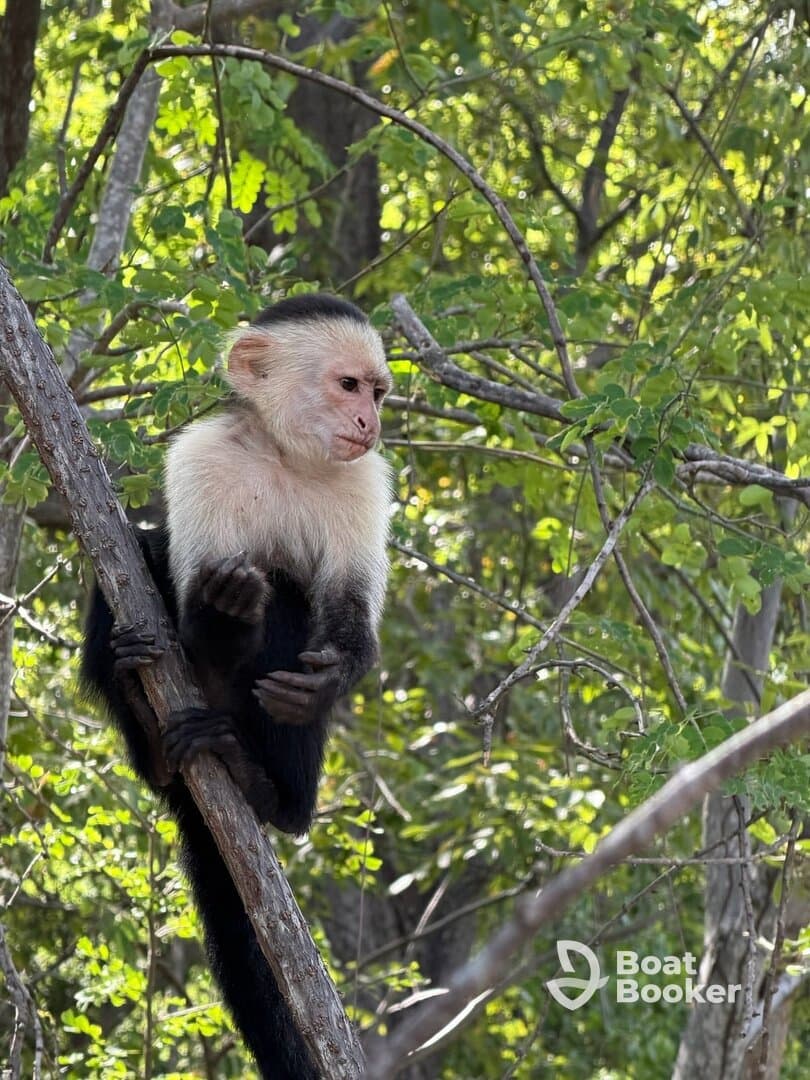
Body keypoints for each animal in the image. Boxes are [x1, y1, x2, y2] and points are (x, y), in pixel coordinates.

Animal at [81, 294, 393, 1079]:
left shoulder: (365, 481)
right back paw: (145, 715)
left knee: (286, 603)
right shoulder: (205, 458)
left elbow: (345, 616)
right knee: (141, 557)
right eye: (349, 386)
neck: (285, 455)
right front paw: (219, 614)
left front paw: (326, 676)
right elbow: (190, 613)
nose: (369, 421)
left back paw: (267, 793)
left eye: (377, 392)